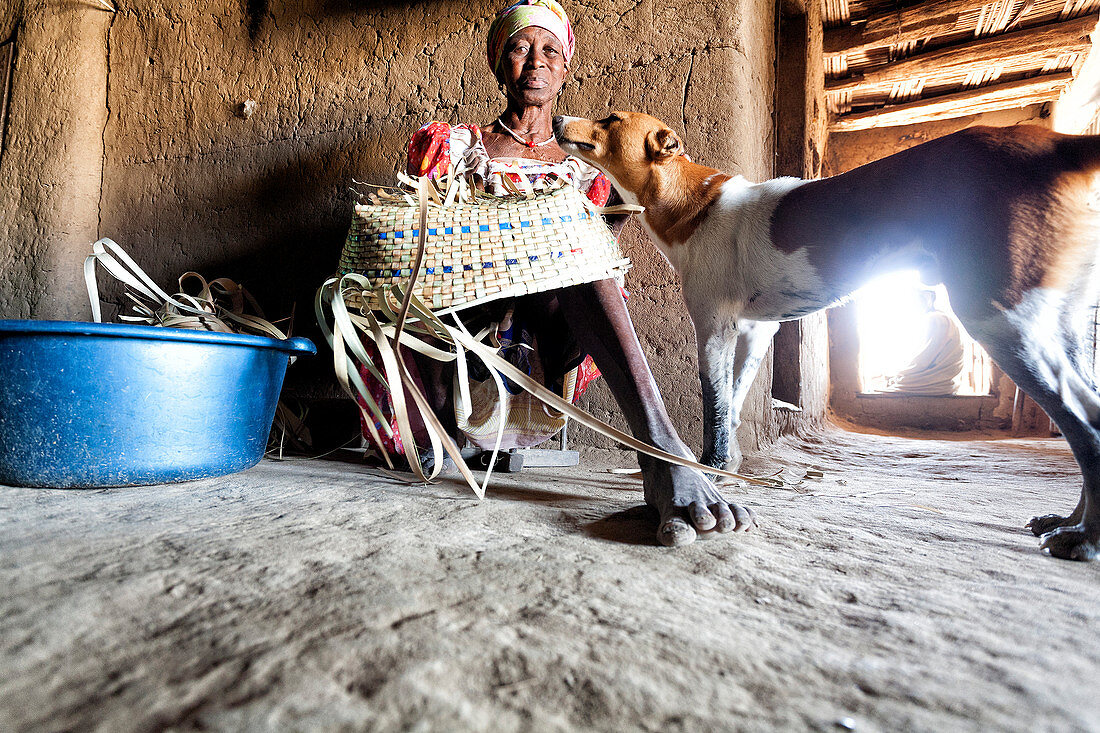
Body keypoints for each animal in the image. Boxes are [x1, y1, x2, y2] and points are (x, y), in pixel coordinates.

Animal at [554, 111, 1100, 559]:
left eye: (609, 119)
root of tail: (1059, 144)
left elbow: (716, 409)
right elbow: (733, 405)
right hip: (1060, 329)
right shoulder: (756, 332)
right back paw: (1069, 523)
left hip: (1001, 320)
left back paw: (1085, 539)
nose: (558, 117)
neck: (694, 202)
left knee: (1086, 425)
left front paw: (710, 470)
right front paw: (728, 468)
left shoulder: (713, 327)